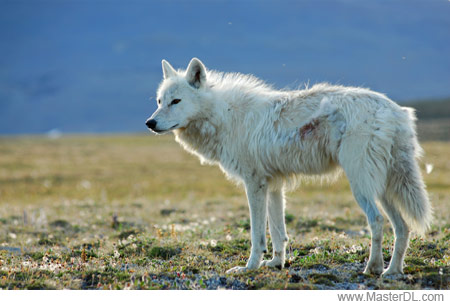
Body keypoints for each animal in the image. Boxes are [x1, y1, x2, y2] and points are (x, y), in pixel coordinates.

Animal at [145, 57, 432, 276]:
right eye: (159, 101)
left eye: (176, 101)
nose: (150, 123)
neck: (225, 116)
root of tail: (396, 111)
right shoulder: (274, 185)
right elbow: (278, 233)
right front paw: (276, 263)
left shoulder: (255, 184)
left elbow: (257, 235)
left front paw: (249, 267)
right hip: (383, 188)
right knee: (402, 227)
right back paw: (392, 271)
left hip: (361, 185)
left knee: (377, 221)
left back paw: (372, 268)